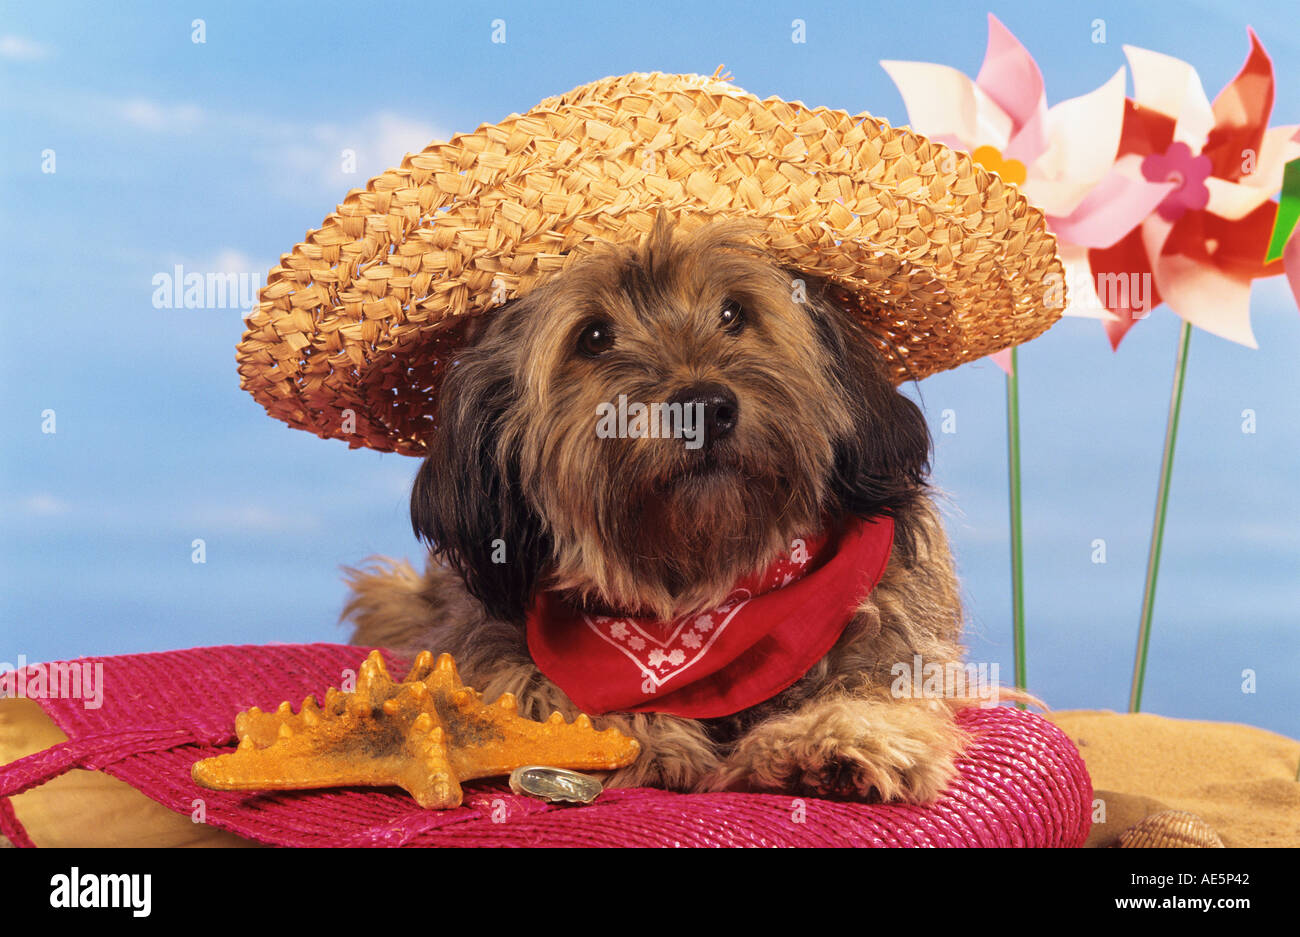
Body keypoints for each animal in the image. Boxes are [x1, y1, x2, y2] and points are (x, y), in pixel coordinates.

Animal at [340, 215, 972, 800]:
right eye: (594, 336)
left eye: (733, 312)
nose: (704, 408)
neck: (700, 596)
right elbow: (541, 695)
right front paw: (640, 731)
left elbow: (882, 684)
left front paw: (841, 734)